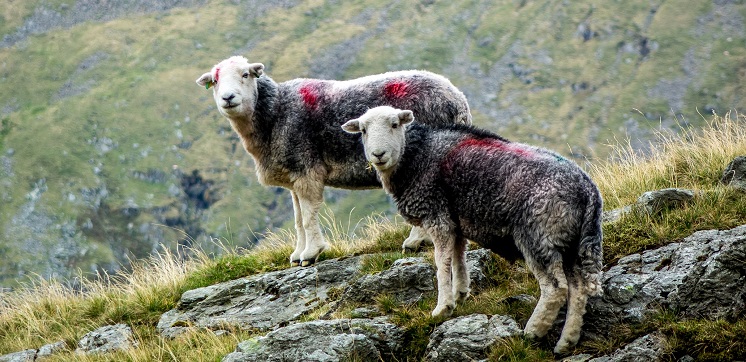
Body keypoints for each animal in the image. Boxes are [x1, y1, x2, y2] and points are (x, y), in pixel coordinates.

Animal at [195, 55, 468, 266]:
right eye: (215, 80)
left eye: (245, 74)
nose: (228, 98)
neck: (275, 113)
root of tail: (458, 100)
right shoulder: (293, 176)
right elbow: (298, 220)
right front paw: (297, 254)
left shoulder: (306, 170)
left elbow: (308, 216)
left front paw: (311, 253)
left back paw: (415, 240)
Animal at [340, 105, 600, 354]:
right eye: (363, 130)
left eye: (395, 124)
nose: (378, 155)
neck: (416, 156)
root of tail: (587, 190)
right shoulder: (456, 221)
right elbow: (458, 257)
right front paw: (460, 293)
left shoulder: (438, 217)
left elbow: (442, 263)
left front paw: (443, 307)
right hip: (573, 243)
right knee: (579, 289)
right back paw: (567, 341)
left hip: (538, 235)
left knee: (556, 289)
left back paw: (533, 331)